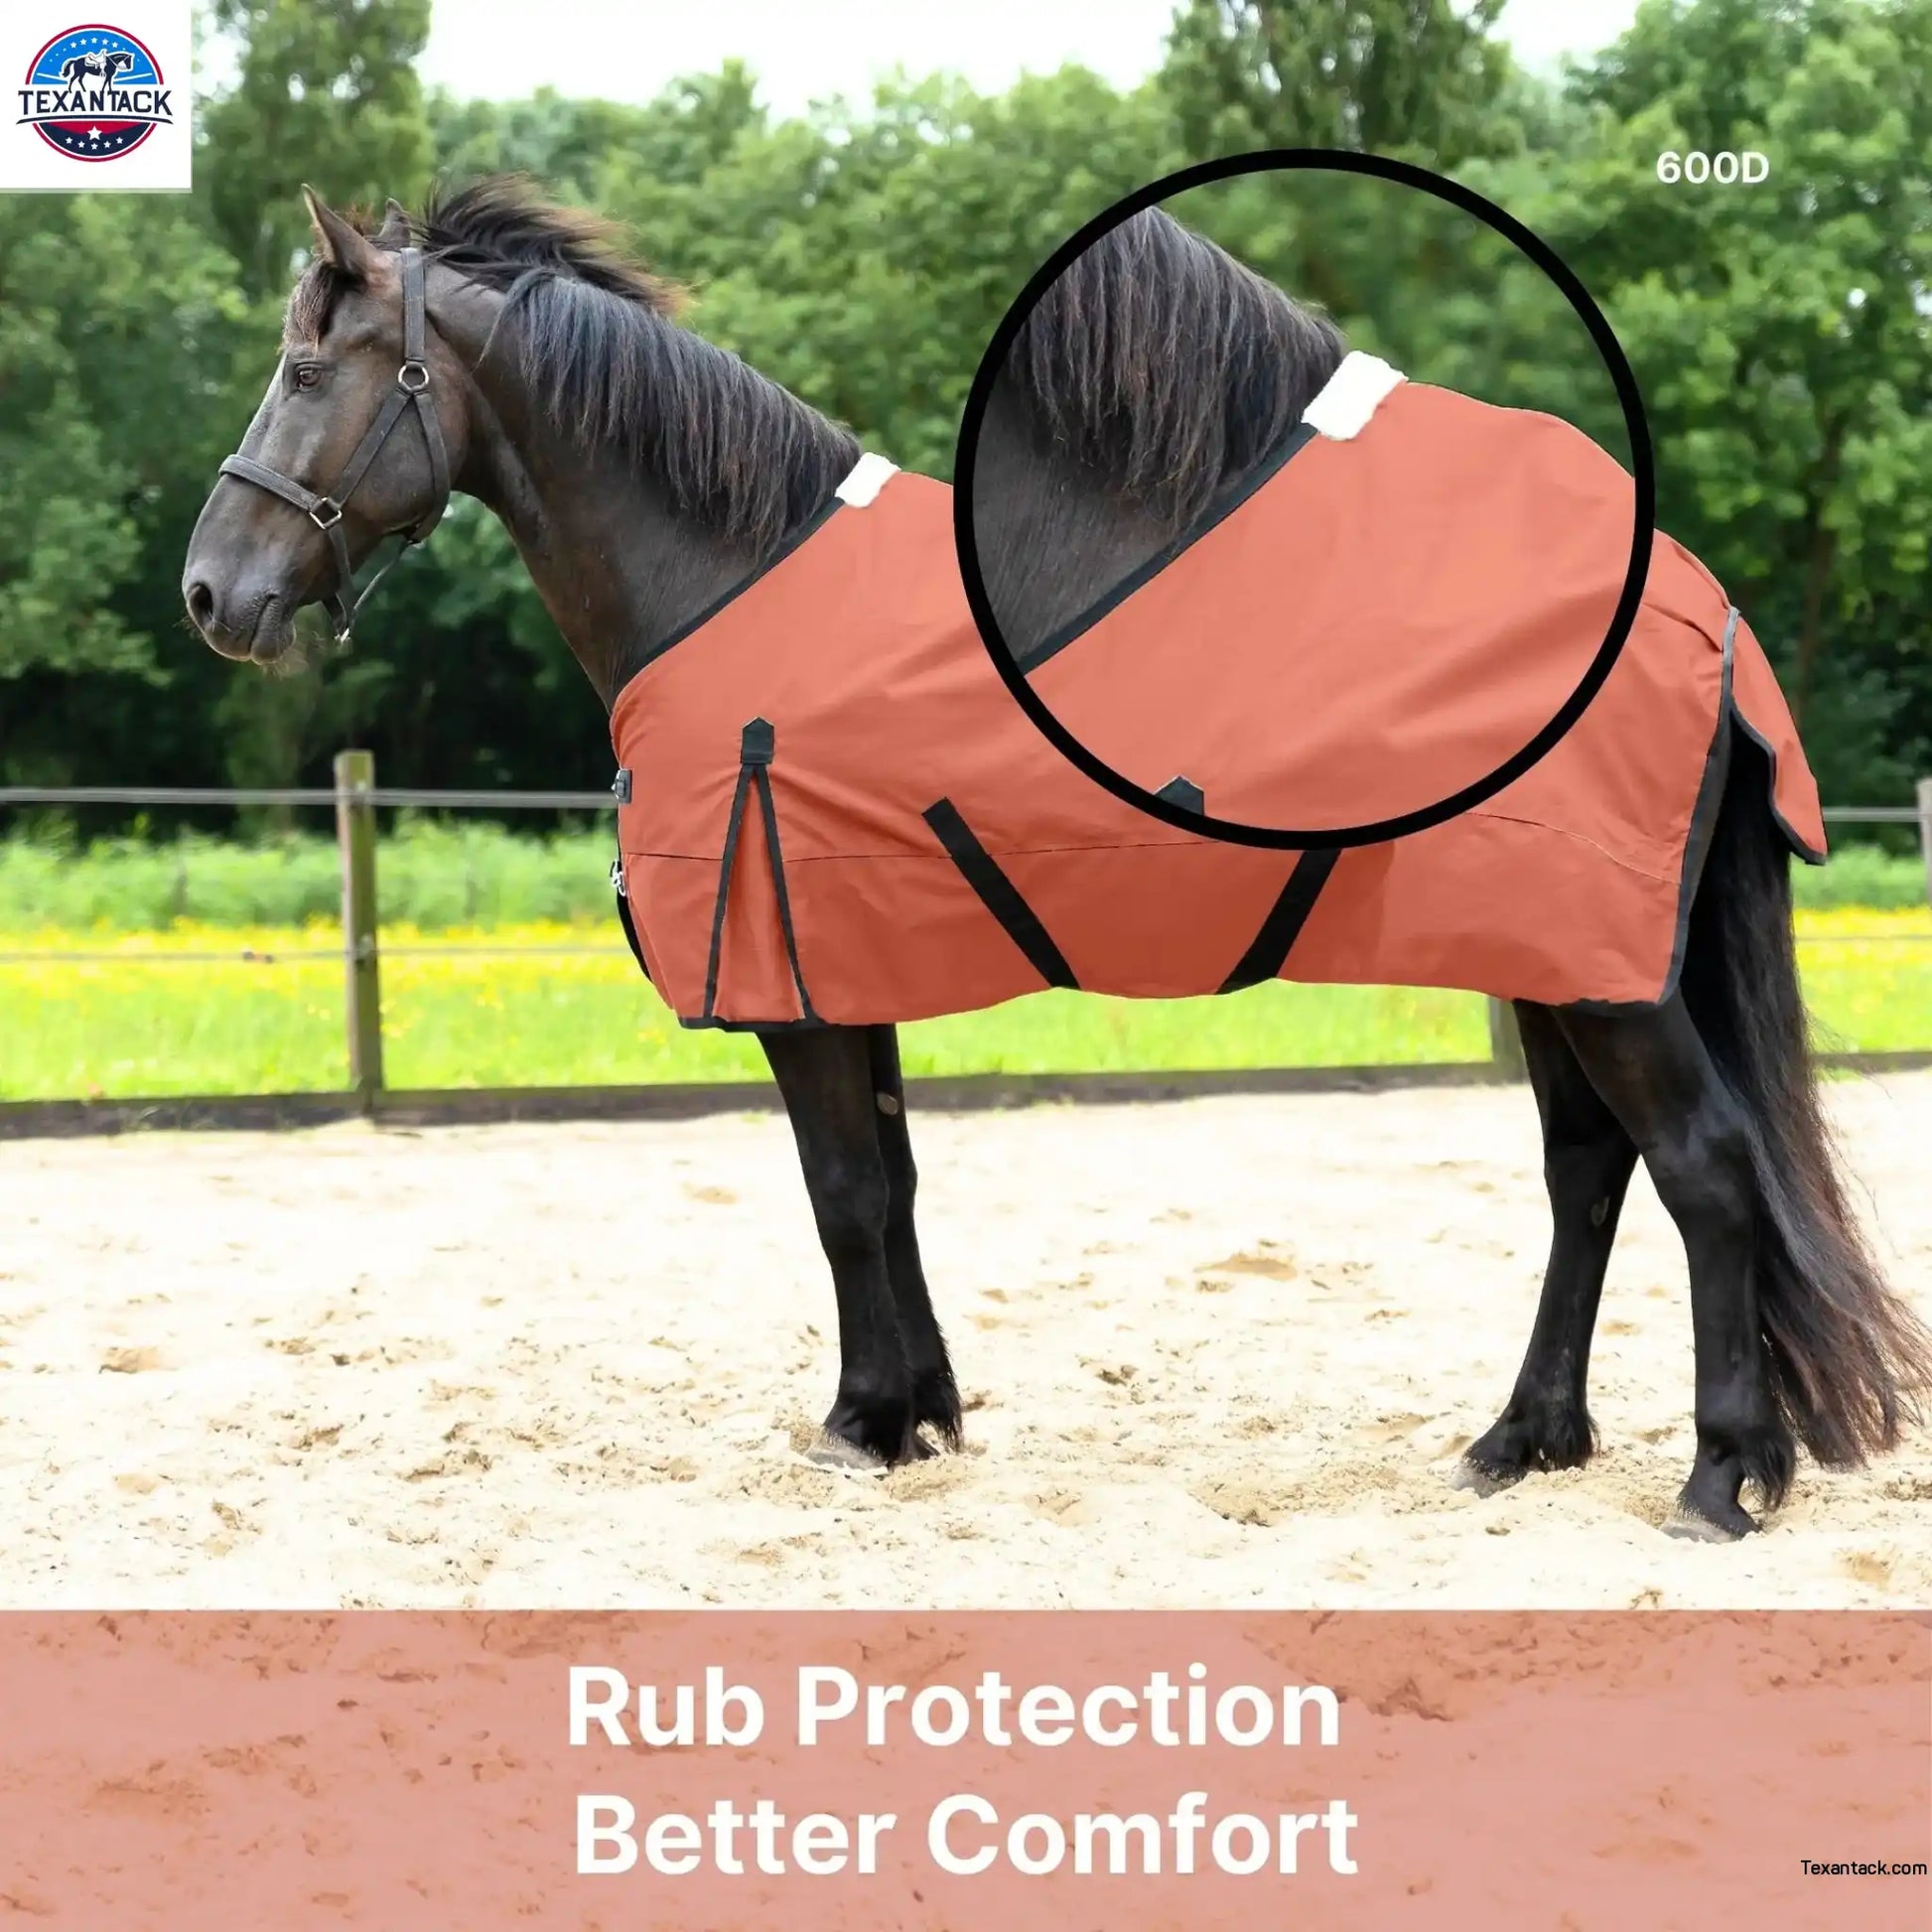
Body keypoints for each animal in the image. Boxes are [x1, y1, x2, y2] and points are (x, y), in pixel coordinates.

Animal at [181, 179, 1931, 1541]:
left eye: (303, 365)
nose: (211, 591)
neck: (725, 576)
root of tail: (1697, 610)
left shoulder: (795, 989)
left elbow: (837, 1194)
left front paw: (860, 1423)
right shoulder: (848, 968)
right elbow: (887, 1184)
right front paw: (919, 1411)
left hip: (1601, 974)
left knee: (1702, 1168)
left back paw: (1719, 1479)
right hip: (1554, 962)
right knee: (1588, 1173)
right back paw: (1519, 1443)